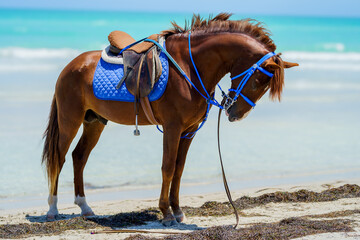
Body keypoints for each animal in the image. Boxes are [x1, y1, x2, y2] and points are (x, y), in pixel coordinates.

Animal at [41, 13, 298, 225]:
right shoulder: (173, 128)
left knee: (79, 157)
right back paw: (52, 210)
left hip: (94, 122)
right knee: (59, 158)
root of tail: (71, 66)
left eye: (264, 85)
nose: (235, 114)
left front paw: (177, 210)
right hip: (70, 120)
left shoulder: (189, 131)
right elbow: (167, 167)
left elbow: (179, 168)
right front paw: (165, 213)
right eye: (258, 81)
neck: (189, 67)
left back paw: (85, 207)